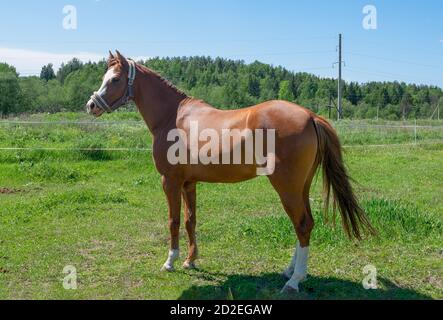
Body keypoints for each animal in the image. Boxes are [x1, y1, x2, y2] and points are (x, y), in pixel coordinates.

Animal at [86, 50, 374, 292]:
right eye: (104, 78)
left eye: (115, 79)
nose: (91, 105)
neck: (172, 116)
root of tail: (310, 115)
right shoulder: (189, 183)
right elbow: (190, 220)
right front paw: (190, 260)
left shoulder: (170, 181)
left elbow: (173, 221)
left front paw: (170, 262)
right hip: (300, 187)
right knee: (306, 224)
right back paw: (290, 271)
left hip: (287, 187)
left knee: (302, 224)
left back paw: (294, 281)